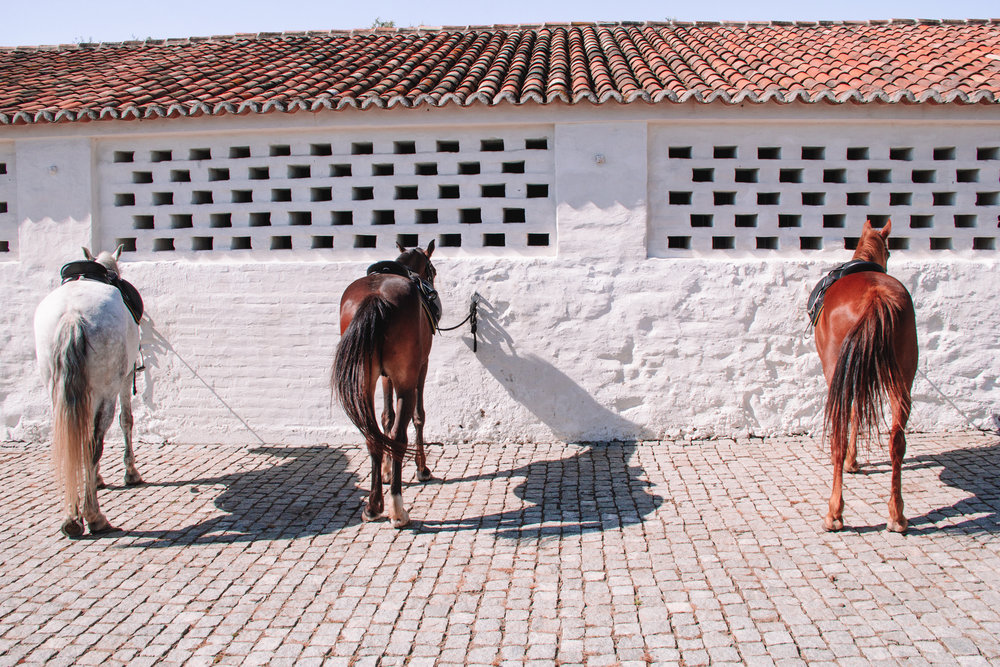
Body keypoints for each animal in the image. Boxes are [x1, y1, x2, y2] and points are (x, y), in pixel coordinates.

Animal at [33, 245, 142, 536]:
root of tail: (72, 315)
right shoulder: (125, 376)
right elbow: (127, 420)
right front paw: (131, 473)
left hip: (58, 387)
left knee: (72, 437)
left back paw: (72, 517)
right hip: (106, 389)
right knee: (94, 443)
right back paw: (94, 516)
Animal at [332, 240, 438, 528]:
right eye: (433, 270)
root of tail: (375, 298)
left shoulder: (383, 376)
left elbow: (385, 417)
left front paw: (388, 471)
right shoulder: (421, 367)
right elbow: (418, 417)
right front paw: (422, 469)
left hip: (363, 379)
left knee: (372, 435)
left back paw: (373, 505)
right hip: (405, 378)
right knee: (399, 436)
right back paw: (397, 508)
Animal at [812, 222, 916, 536]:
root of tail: (876, 295)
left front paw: (851, 461)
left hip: (837, 369)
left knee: (838, 433)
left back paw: (834, 513)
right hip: (903, 378)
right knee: (897, 441)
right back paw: (897, 515)